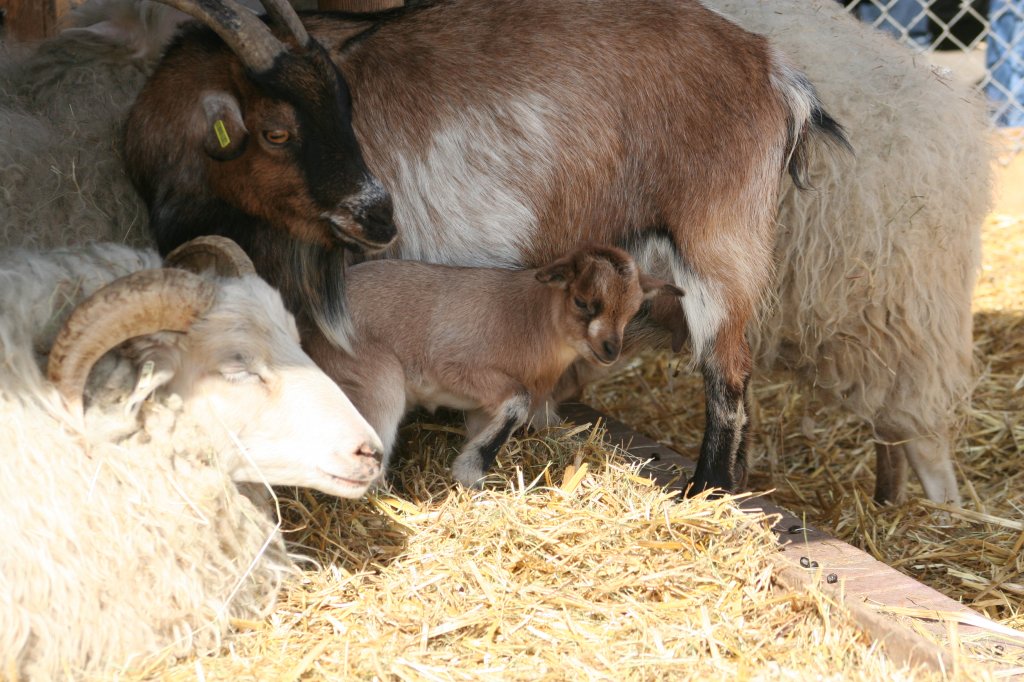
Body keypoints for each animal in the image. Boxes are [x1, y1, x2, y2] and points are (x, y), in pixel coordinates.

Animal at [125, 0, 847, 493]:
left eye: (344, 108)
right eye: (277, 131)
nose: (380, 215)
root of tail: (773, 69)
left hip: (718, 243)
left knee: (728, 375)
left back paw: (707, 492)